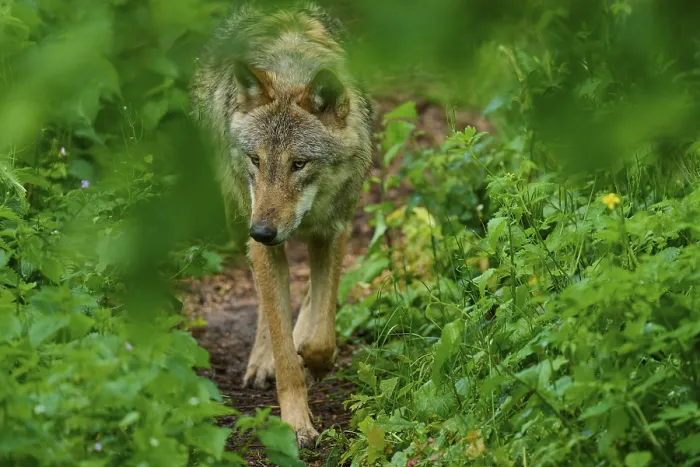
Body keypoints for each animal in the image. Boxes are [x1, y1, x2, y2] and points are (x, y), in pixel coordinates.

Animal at [190, 2, 373, 446]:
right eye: (256, 160)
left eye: (299, 164)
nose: (263, 231)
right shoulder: (262, 241)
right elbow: (283, 345)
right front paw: (295, 423)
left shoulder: (333, 230)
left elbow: (323, 334)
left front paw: (315, 357)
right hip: (238, 218)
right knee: (265, 302)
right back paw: (262, 360)